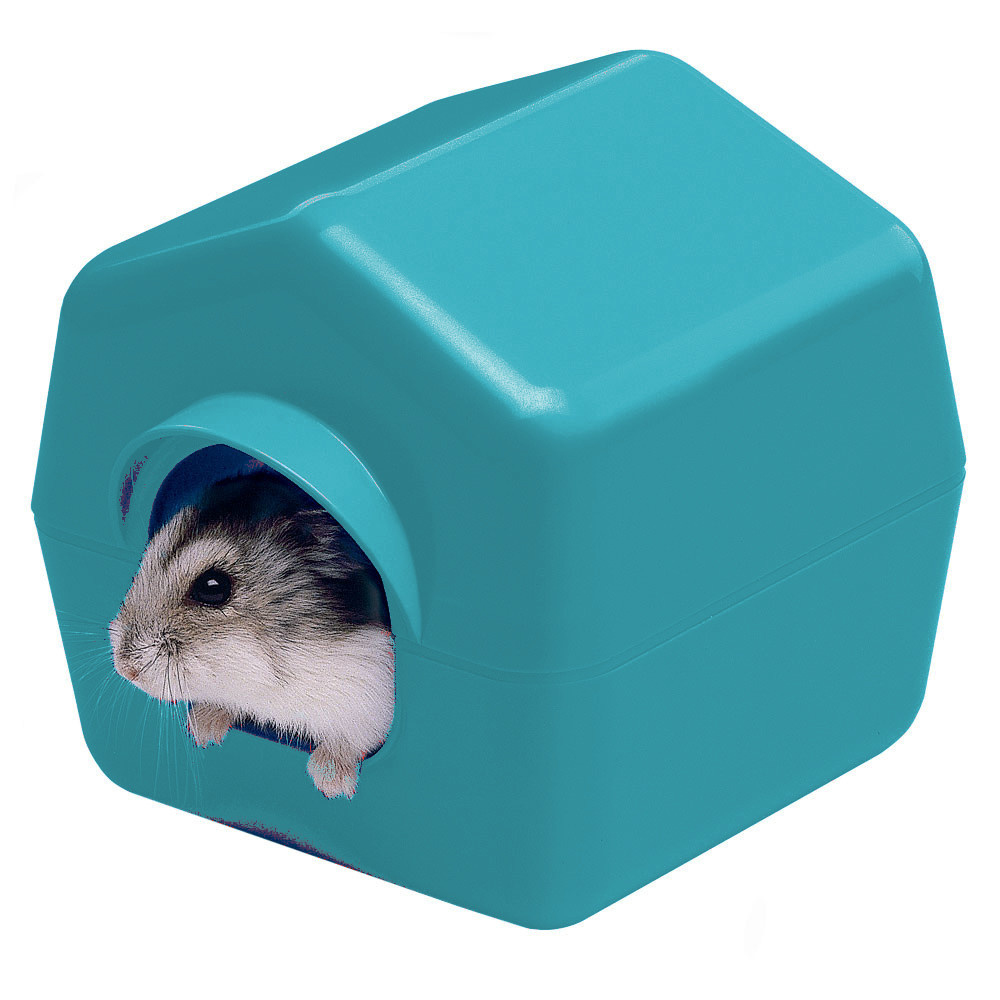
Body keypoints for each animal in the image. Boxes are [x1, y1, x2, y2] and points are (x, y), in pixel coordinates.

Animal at [108, 471, 394, 799]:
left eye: (213, 587)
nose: (125, 669)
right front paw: (201, 731)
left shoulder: (371, 698)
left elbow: (353, 738)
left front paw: (331, 784)